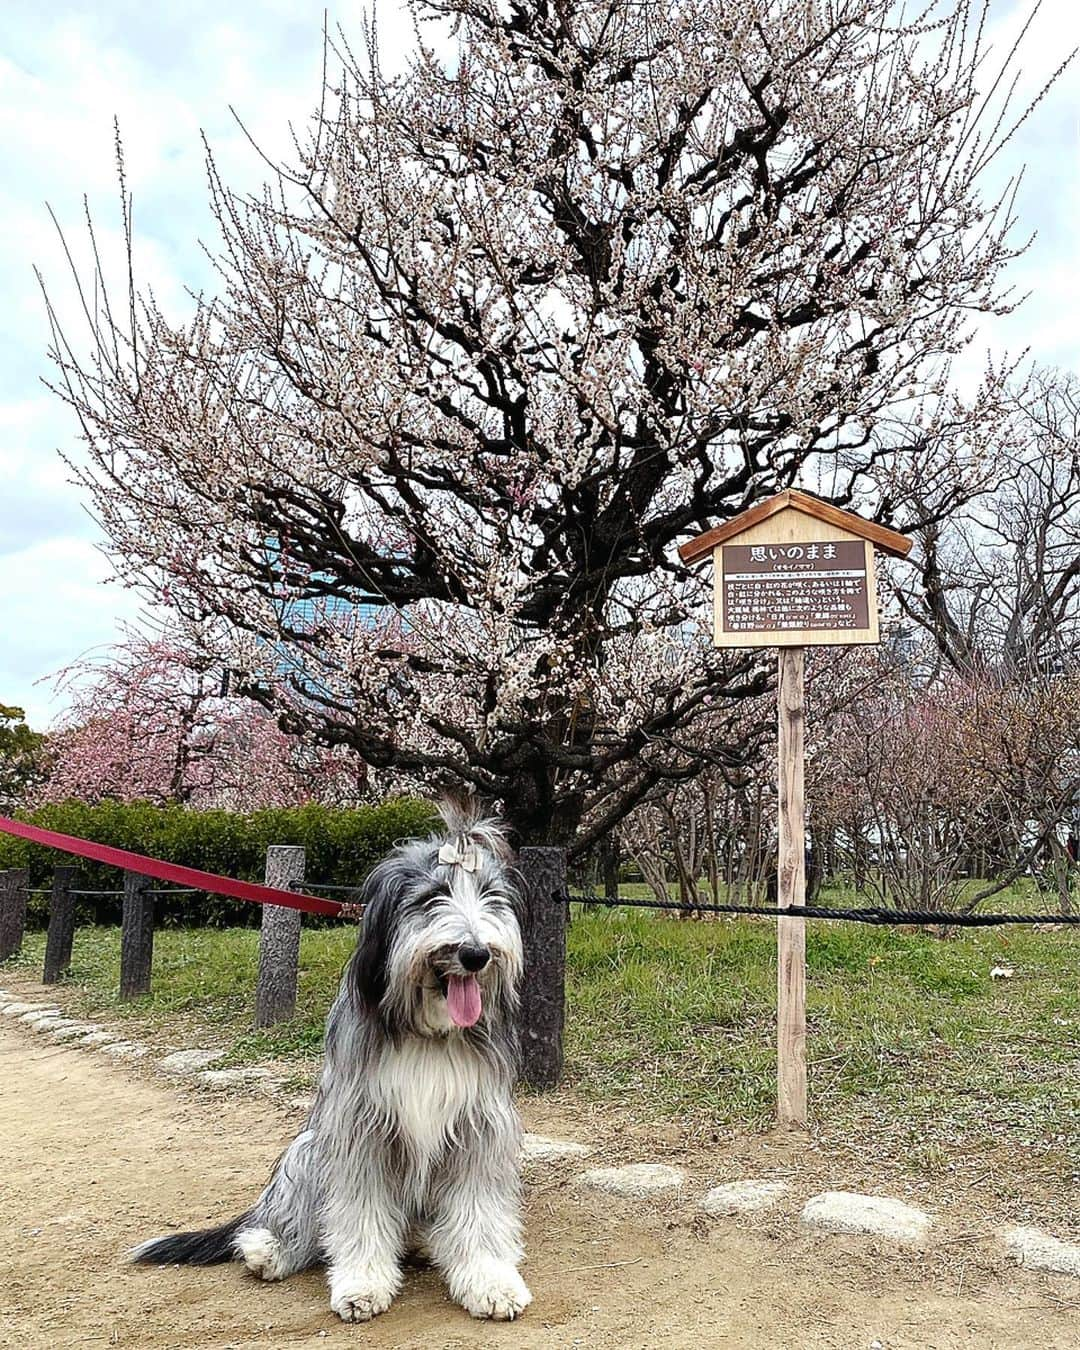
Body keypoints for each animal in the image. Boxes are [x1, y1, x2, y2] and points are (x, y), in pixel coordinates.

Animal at [135, 799, 531, 1317]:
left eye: (489, 897)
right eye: (432, 897)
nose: (476, 953)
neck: (429, 1033)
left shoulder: (479, 1127)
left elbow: (479, 1213)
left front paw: (490, 1281)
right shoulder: (359, 1126)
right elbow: (359, 1214)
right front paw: (362, 1283)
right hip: (309, 1150)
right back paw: (270, 1250)